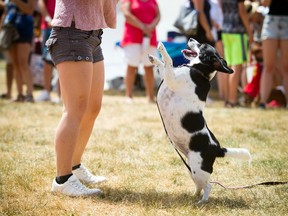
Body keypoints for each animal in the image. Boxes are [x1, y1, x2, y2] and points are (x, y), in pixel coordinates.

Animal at [150, 38, 251, 202]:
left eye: (203, 45)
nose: (191, 39)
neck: (199, 71)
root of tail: (218, 148)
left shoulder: (172, 79)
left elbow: (169, 61)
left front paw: (162, 48)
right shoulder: (167, 77)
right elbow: (163, 66)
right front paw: (154, 59)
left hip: (198, 169)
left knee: (209, 186)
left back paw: (202, 201)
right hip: (192, 168)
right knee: (201, 185)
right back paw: (194, 196)